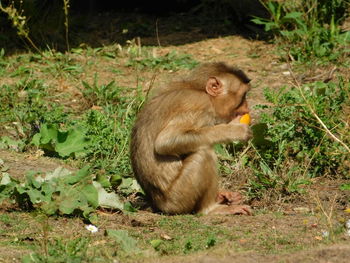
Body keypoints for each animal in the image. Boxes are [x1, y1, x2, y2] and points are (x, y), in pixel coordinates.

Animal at [130, 62, 253, 217]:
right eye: (243, 97)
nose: (247, 108)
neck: (199, 90)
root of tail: (157, 204)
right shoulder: (200, 103)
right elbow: (164, 142)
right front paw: (234, 130)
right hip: (178, 199)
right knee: (203, 153)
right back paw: (211, 208)